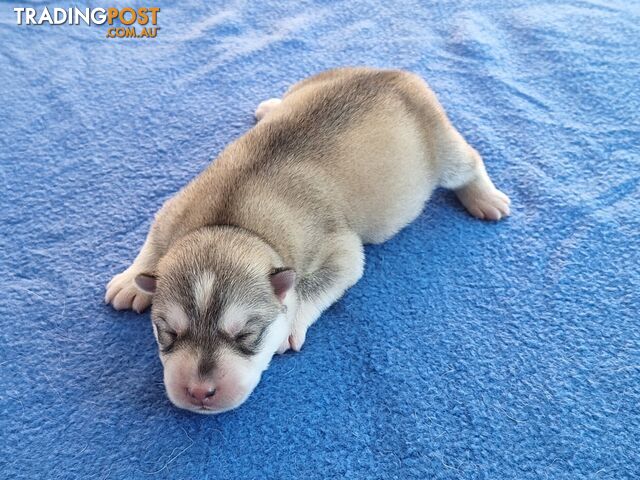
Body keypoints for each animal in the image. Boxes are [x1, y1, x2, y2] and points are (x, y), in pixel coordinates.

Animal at [105, 66, 510, 412]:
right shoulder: (173, 212)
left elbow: (317, 283)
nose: (199, 391)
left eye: (247, 335)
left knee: (470, 161)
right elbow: (154, 240)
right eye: (168, 333)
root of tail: (399, 74)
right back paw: (271, 106)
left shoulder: (339, 248)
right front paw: (131, 281)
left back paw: (486, 198)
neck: (229, 225)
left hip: (442, 148)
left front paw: (290, 322)